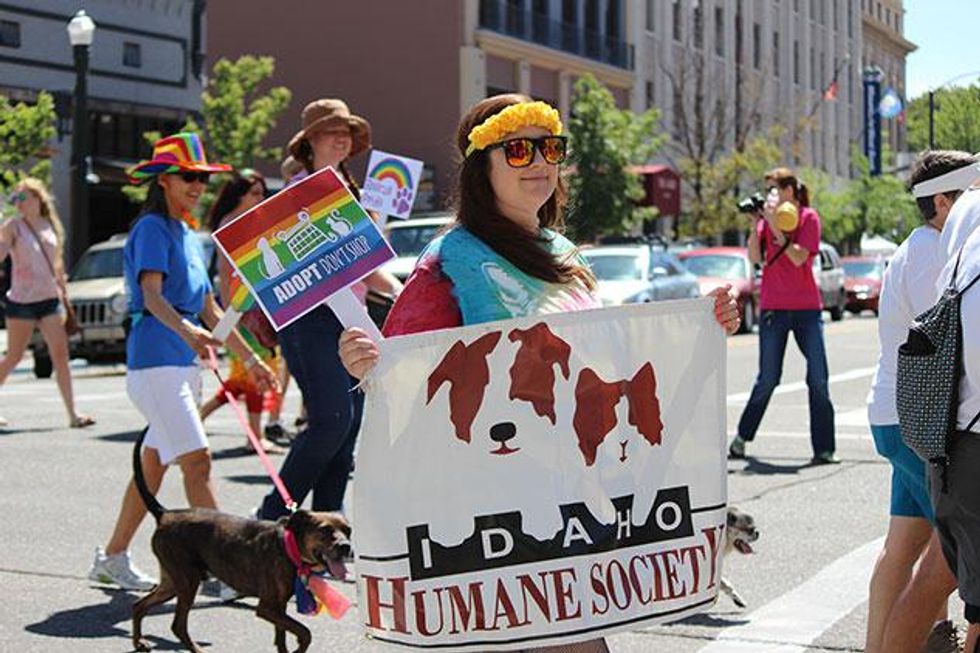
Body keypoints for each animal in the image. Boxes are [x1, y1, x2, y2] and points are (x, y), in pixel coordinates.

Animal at [129, 428, 352, 652]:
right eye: (325, 530)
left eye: (348, 531)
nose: (346, 547)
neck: (289, 548)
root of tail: (164, 514)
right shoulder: (268, 608)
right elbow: (305, 632)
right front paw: (298, 648)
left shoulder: (279, 607)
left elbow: (282, 637)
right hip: (187, 581)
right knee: (177, 625)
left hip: (172, 582)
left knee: (139, 606)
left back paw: (139, 641)